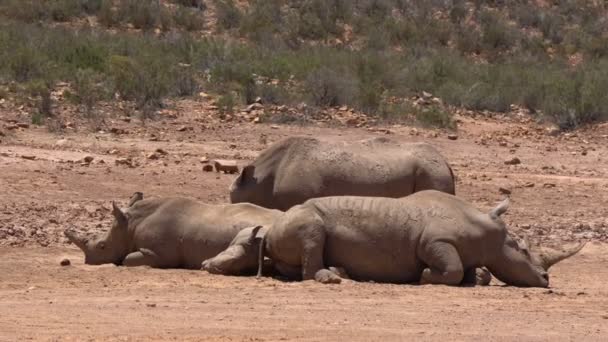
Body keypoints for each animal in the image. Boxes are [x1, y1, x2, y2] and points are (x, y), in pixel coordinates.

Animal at [203, 191, 584, 288]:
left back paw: (342, 272)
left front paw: (474, 279)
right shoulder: (435, 241)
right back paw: (332, 278)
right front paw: (424, 277)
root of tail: (273, 225)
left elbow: (470, 271)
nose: (546, 280)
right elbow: (448, 269)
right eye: (524, 250)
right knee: (313, 233)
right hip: (300, 219)